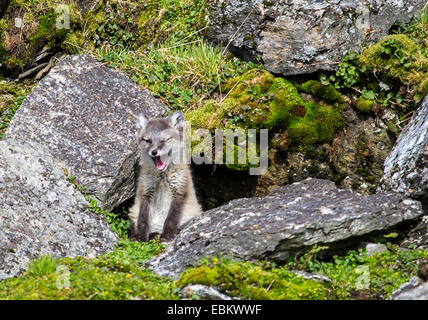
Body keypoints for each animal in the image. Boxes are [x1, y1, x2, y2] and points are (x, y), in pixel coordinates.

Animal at [128, 111, 201, 241]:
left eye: (165, 140)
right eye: (148, 141)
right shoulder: (146, 192)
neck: (162, 177)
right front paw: (141, 239)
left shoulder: (179, 191)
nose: (154, 152)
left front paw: (167, 236)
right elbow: (143, 220)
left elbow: (171, 219)